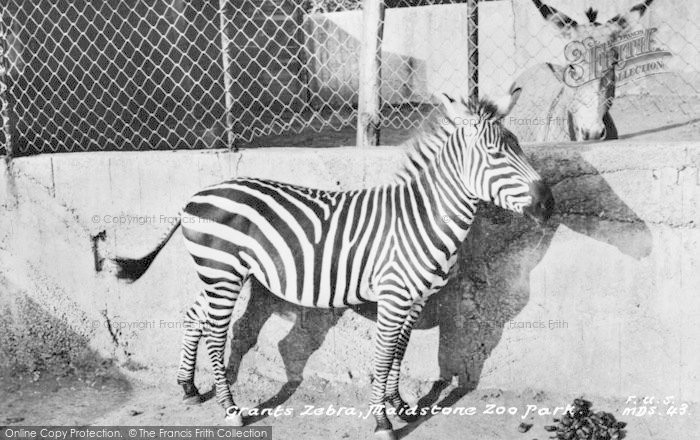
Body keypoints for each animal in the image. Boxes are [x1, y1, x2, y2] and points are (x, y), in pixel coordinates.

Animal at [112, 87, 556, 440]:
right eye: (495, 153)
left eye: (519, 145)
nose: (549, 204)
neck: (422, 217)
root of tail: (195, 196)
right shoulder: (394, 297)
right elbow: (383, 355)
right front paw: (383, 422)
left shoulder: (414, 300)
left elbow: (398, 353)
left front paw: (401, 406)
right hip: (223, 275)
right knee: (219, 335)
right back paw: (231, 410)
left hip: (219, 274)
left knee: (193, 317)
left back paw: (188, 387)